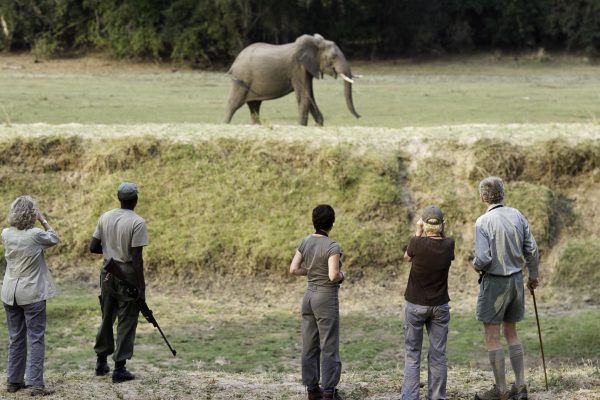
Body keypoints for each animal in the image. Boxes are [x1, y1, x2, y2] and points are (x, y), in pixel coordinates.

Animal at [223, 33, 358, 126]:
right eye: (333, 57)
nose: (359, 116)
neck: (316, 43)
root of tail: (235, 62)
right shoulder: (297, 68)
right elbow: (304, 95)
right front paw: (302, 126)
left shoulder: (307, 68)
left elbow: (309, 95)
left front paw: (319, 124)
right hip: (241, 79)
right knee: (233, 104)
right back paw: (225, 124)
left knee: (254, 107)